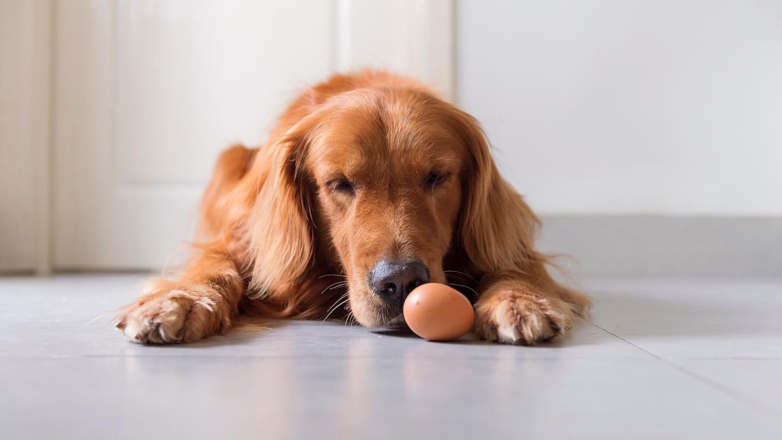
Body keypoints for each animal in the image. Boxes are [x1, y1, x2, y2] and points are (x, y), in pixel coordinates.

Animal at [116, 71, 592, 344]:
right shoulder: (245, 237)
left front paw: (519, 300)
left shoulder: (505, 239)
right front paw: (180, 300)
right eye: (340, 184)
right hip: (229, 157)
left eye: (436, 176)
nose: (400, 282)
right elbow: (215, 262)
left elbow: (514, 262)